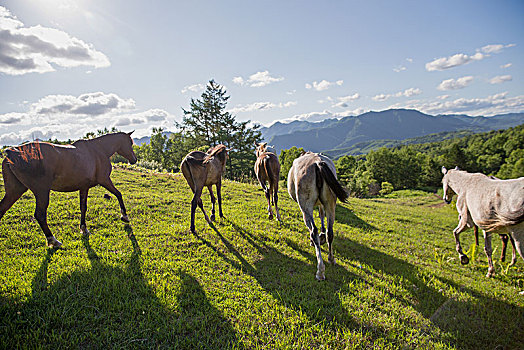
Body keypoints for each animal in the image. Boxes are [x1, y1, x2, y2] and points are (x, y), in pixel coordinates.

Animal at [0, 132, 137, 249]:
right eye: (130, 143)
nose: (134, 160)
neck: (98, 150)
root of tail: (12, 153)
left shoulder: (84, 187)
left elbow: (83, 207)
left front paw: (84, 229)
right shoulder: (104, 180)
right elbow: (118, 194)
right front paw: (124, 216)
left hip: (15, 192)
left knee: (2, 209)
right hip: (42, 192)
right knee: (40, 215)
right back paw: (53, 240)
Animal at [286, 152, 348, 280]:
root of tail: (317, 162)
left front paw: (315, 240)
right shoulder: (321, 204)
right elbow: (322, 215)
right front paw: (322, 235)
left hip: (306, 207)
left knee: (313, 231)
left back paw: (320, 269)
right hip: (330, 204)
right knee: (330, 232)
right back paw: (331, 258)